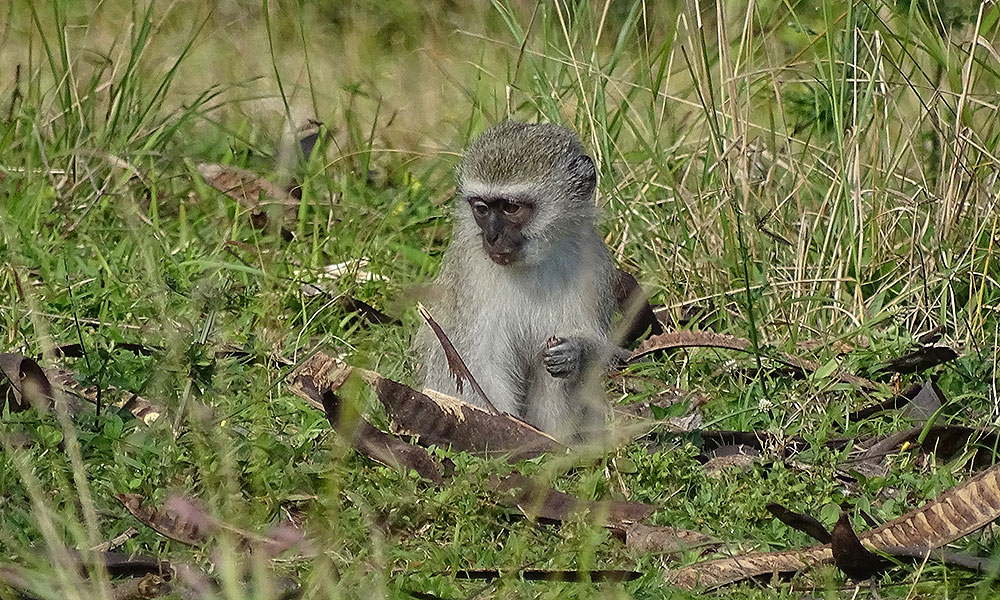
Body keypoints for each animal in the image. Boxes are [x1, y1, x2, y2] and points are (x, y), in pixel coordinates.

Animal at [414, 122, 616, 440]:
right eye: (482, 208)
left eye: (511, 207)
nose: (492, 236)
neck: (531, 262)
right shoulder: (471, 270)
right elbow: (480, 363)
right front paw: (506, 429)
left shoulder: (593, 263)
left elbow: (591, 352)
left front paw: (573, 353)